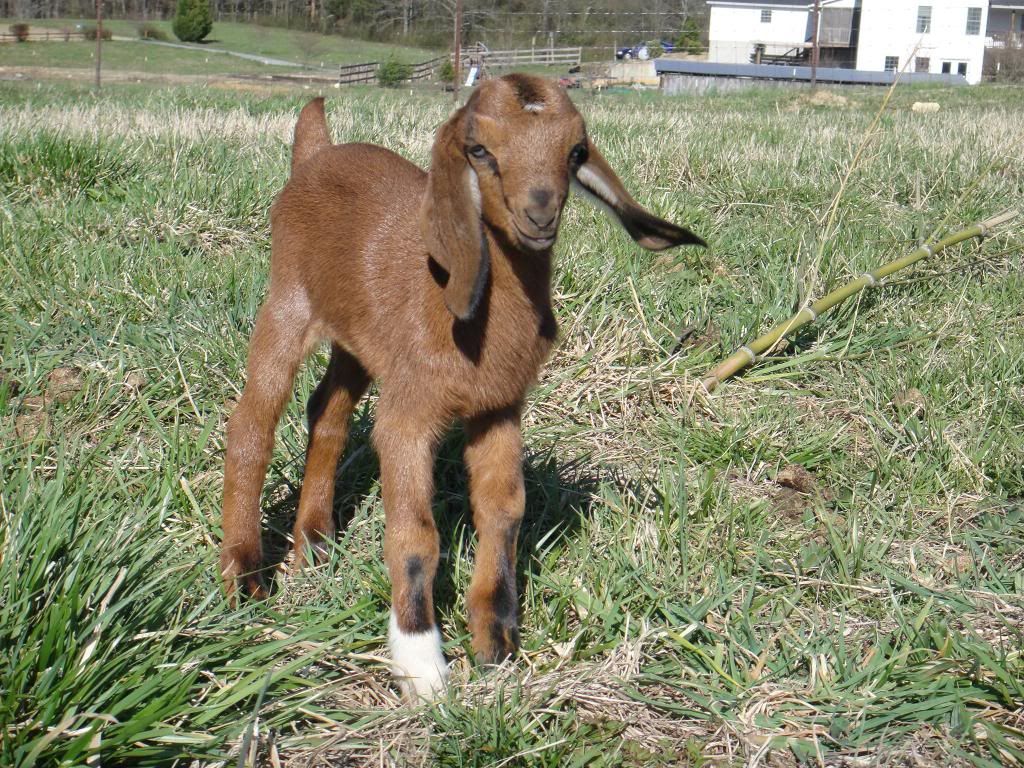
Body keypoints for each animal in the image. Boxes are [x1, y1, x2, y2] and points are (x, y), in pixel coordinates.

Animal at [221, 74, 704, 700]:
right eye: (479, 150)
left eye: (576, 151)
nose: (539, 214)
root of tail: (316, 154)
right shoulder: (408, 416)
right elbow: (417, 536)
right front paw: (421, 663)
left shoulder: (498, 408)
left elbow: (503, 510)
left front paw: (496, 639)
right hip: (286, 302)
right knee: (252, 423)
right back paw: (243, 576)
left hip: (355, 337)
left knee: (326, 408)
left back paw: (316, 544)